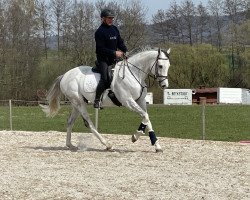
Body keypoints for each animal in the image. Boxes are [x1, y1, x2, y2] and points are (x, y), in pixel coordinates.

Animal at [41, 47, 170, 152]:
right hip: (79, 103)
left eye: (168, 66)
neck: (133, 74)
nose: (164, 85)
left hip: (76, 104)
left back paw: (70, 145)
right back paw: (107, 144)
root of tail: (65, 75)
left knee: (70, 122)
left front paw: (157, 146)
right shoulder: (128, 101)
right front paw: (136, 136)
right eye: (160, 66)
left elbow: (147, 118)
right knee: (89, 123)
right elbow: (145, 116)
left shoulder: (141, 101)